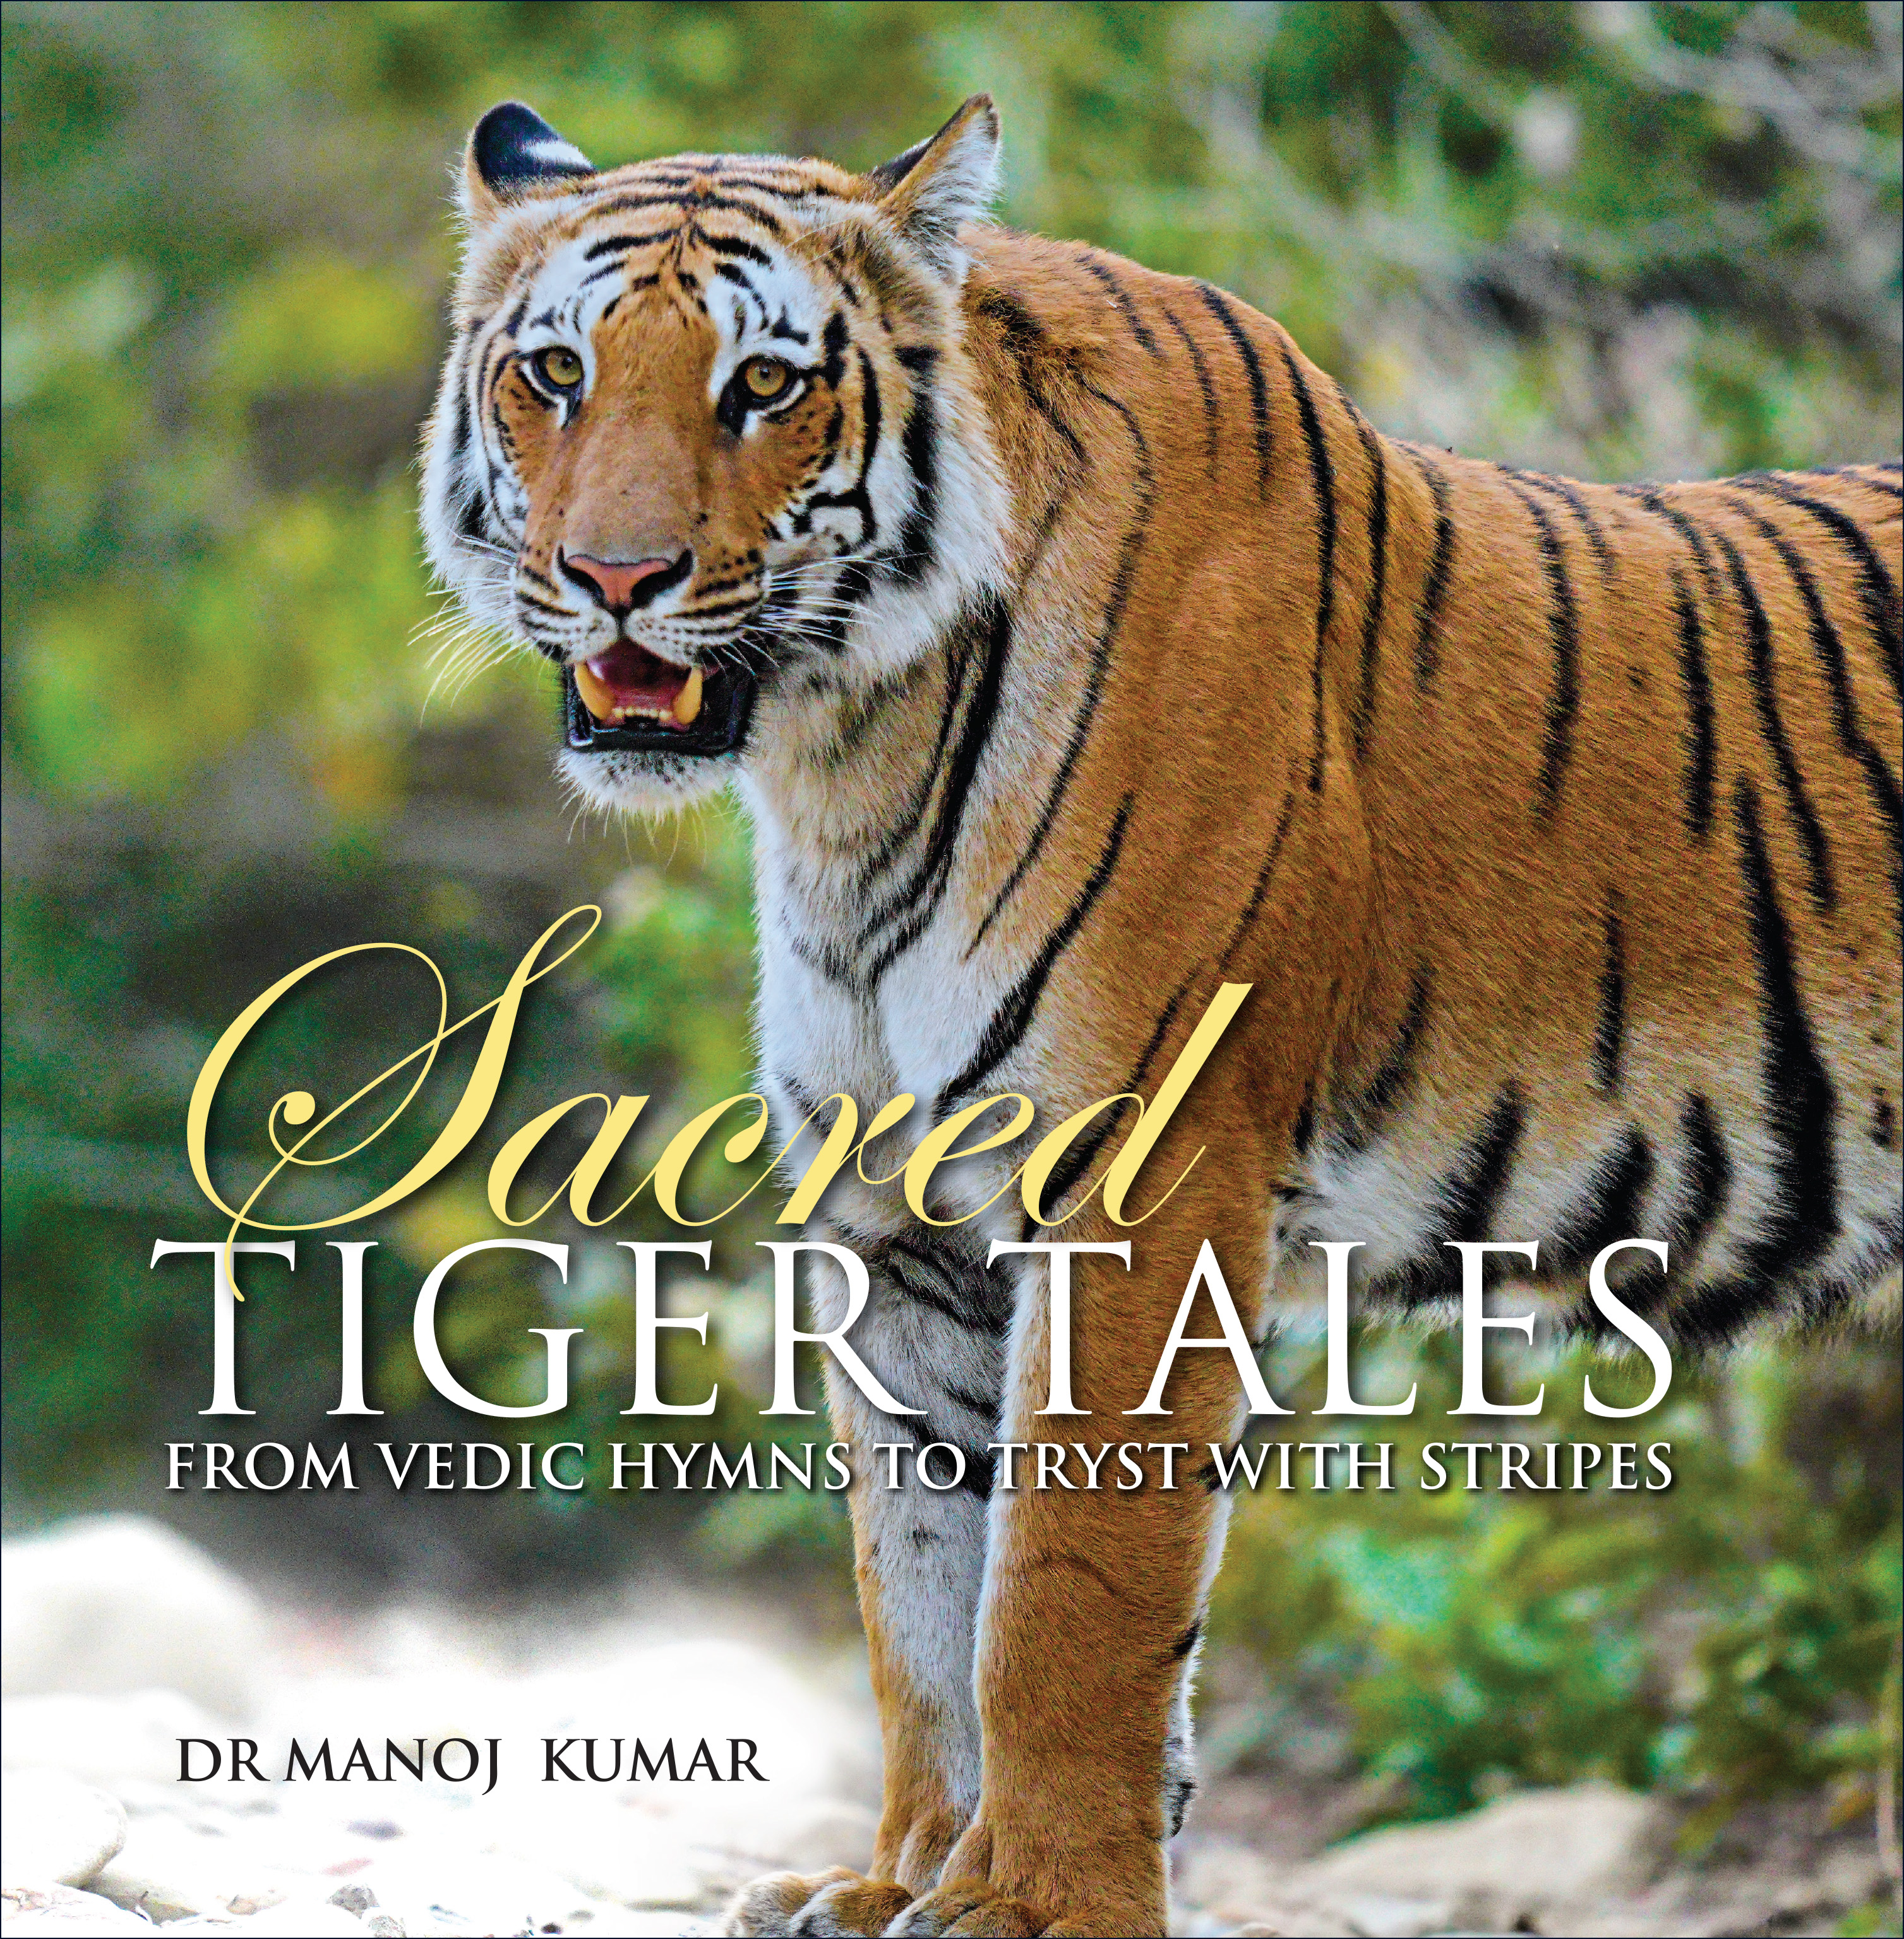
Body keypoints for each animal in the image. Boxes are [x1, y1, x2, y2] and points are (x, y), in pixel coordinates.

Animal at [420, 93, 1902, 1939]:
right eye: (554, 372)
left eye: (759, 385)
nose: (614, 576)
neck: (842, 759)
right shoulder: (899, 1223)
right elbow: (920, 1591)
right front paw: (900, 1876)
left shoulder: (1139, 1178)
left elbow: (1061, 1595)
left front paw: (1033, 1904)